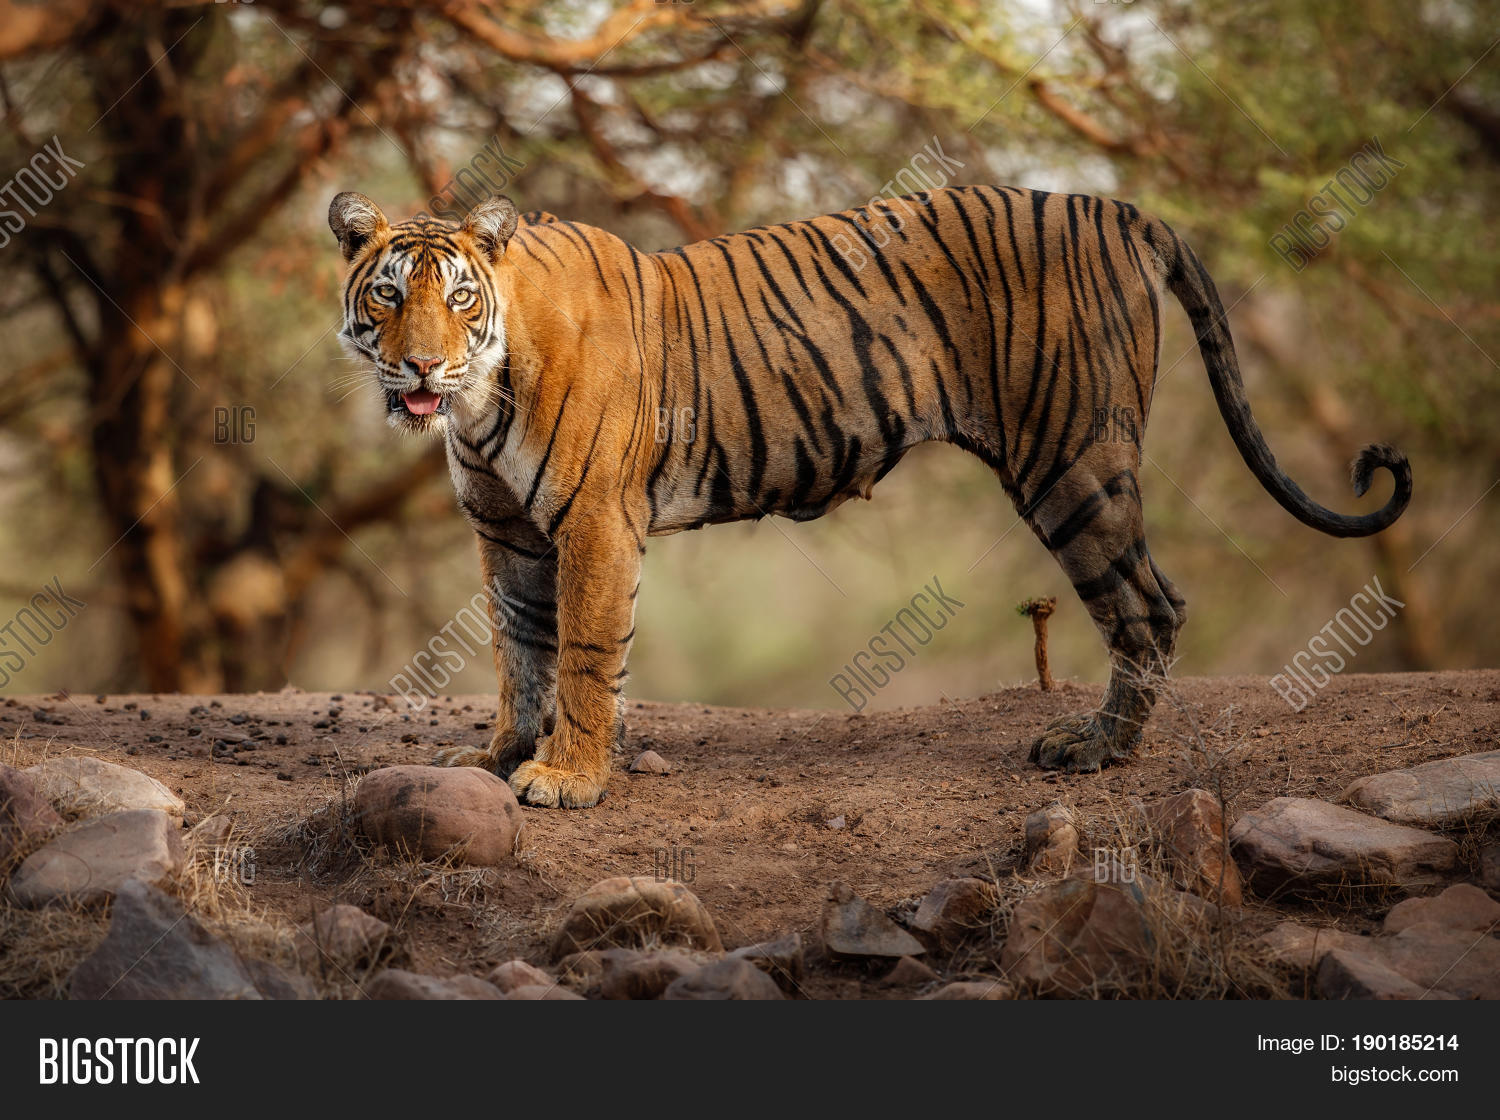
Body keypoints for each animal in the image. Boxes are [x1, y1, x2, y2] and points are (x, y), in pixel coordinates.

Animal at [329, 185, 1411, 809]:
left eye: (457, 297)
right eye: (387, 294)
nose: (420, 365)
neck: (478, 397)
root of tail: (1117, 209)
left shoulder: (594, 522)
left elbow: (585, 656)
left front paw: (566, 778)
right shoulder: (507, 532)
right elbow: (520, 651)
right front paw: (502, 756)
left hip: (1072, 459)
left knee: (1150, 605)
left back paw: (1096, 750)